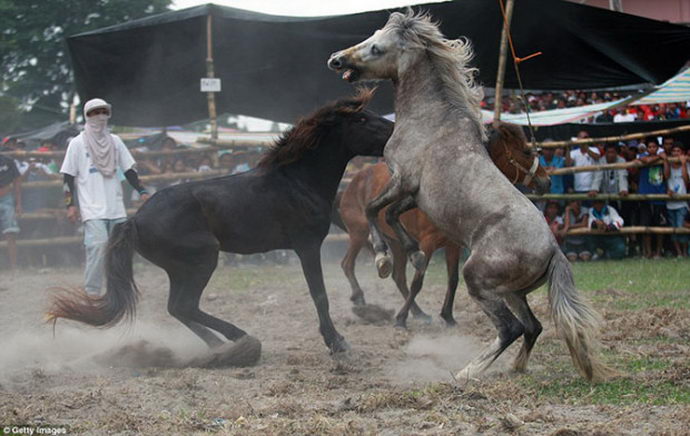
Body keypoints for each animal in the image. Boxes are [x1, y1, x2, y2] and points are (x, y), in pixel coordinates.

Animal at [48, 89, 390, 362]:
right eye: (362, 120)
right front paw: (337, 343)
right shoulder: (306, 246)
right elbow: (319, 294)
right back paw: (238, 338)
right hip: (202, 258)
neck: (297, 180)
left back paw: (220, 345)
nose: (393, 130)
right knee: (185, 305)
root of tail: (135, 220)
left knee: (177, 307)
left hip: (181, 268)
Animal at [334, 122, 548, 328]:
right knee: (348, 264)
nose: (546, 180)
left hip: (394, 243)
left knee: (398, 276)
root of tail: (351, 183)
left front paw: (448, 316)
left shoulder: (452, 245)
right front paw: (401, 319)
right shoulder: (427, 244)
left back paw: (418, 312)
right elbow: (418, 282)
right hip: (358, 234)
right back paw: (362, 297)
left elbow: (452, 280)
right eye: (526, 152)